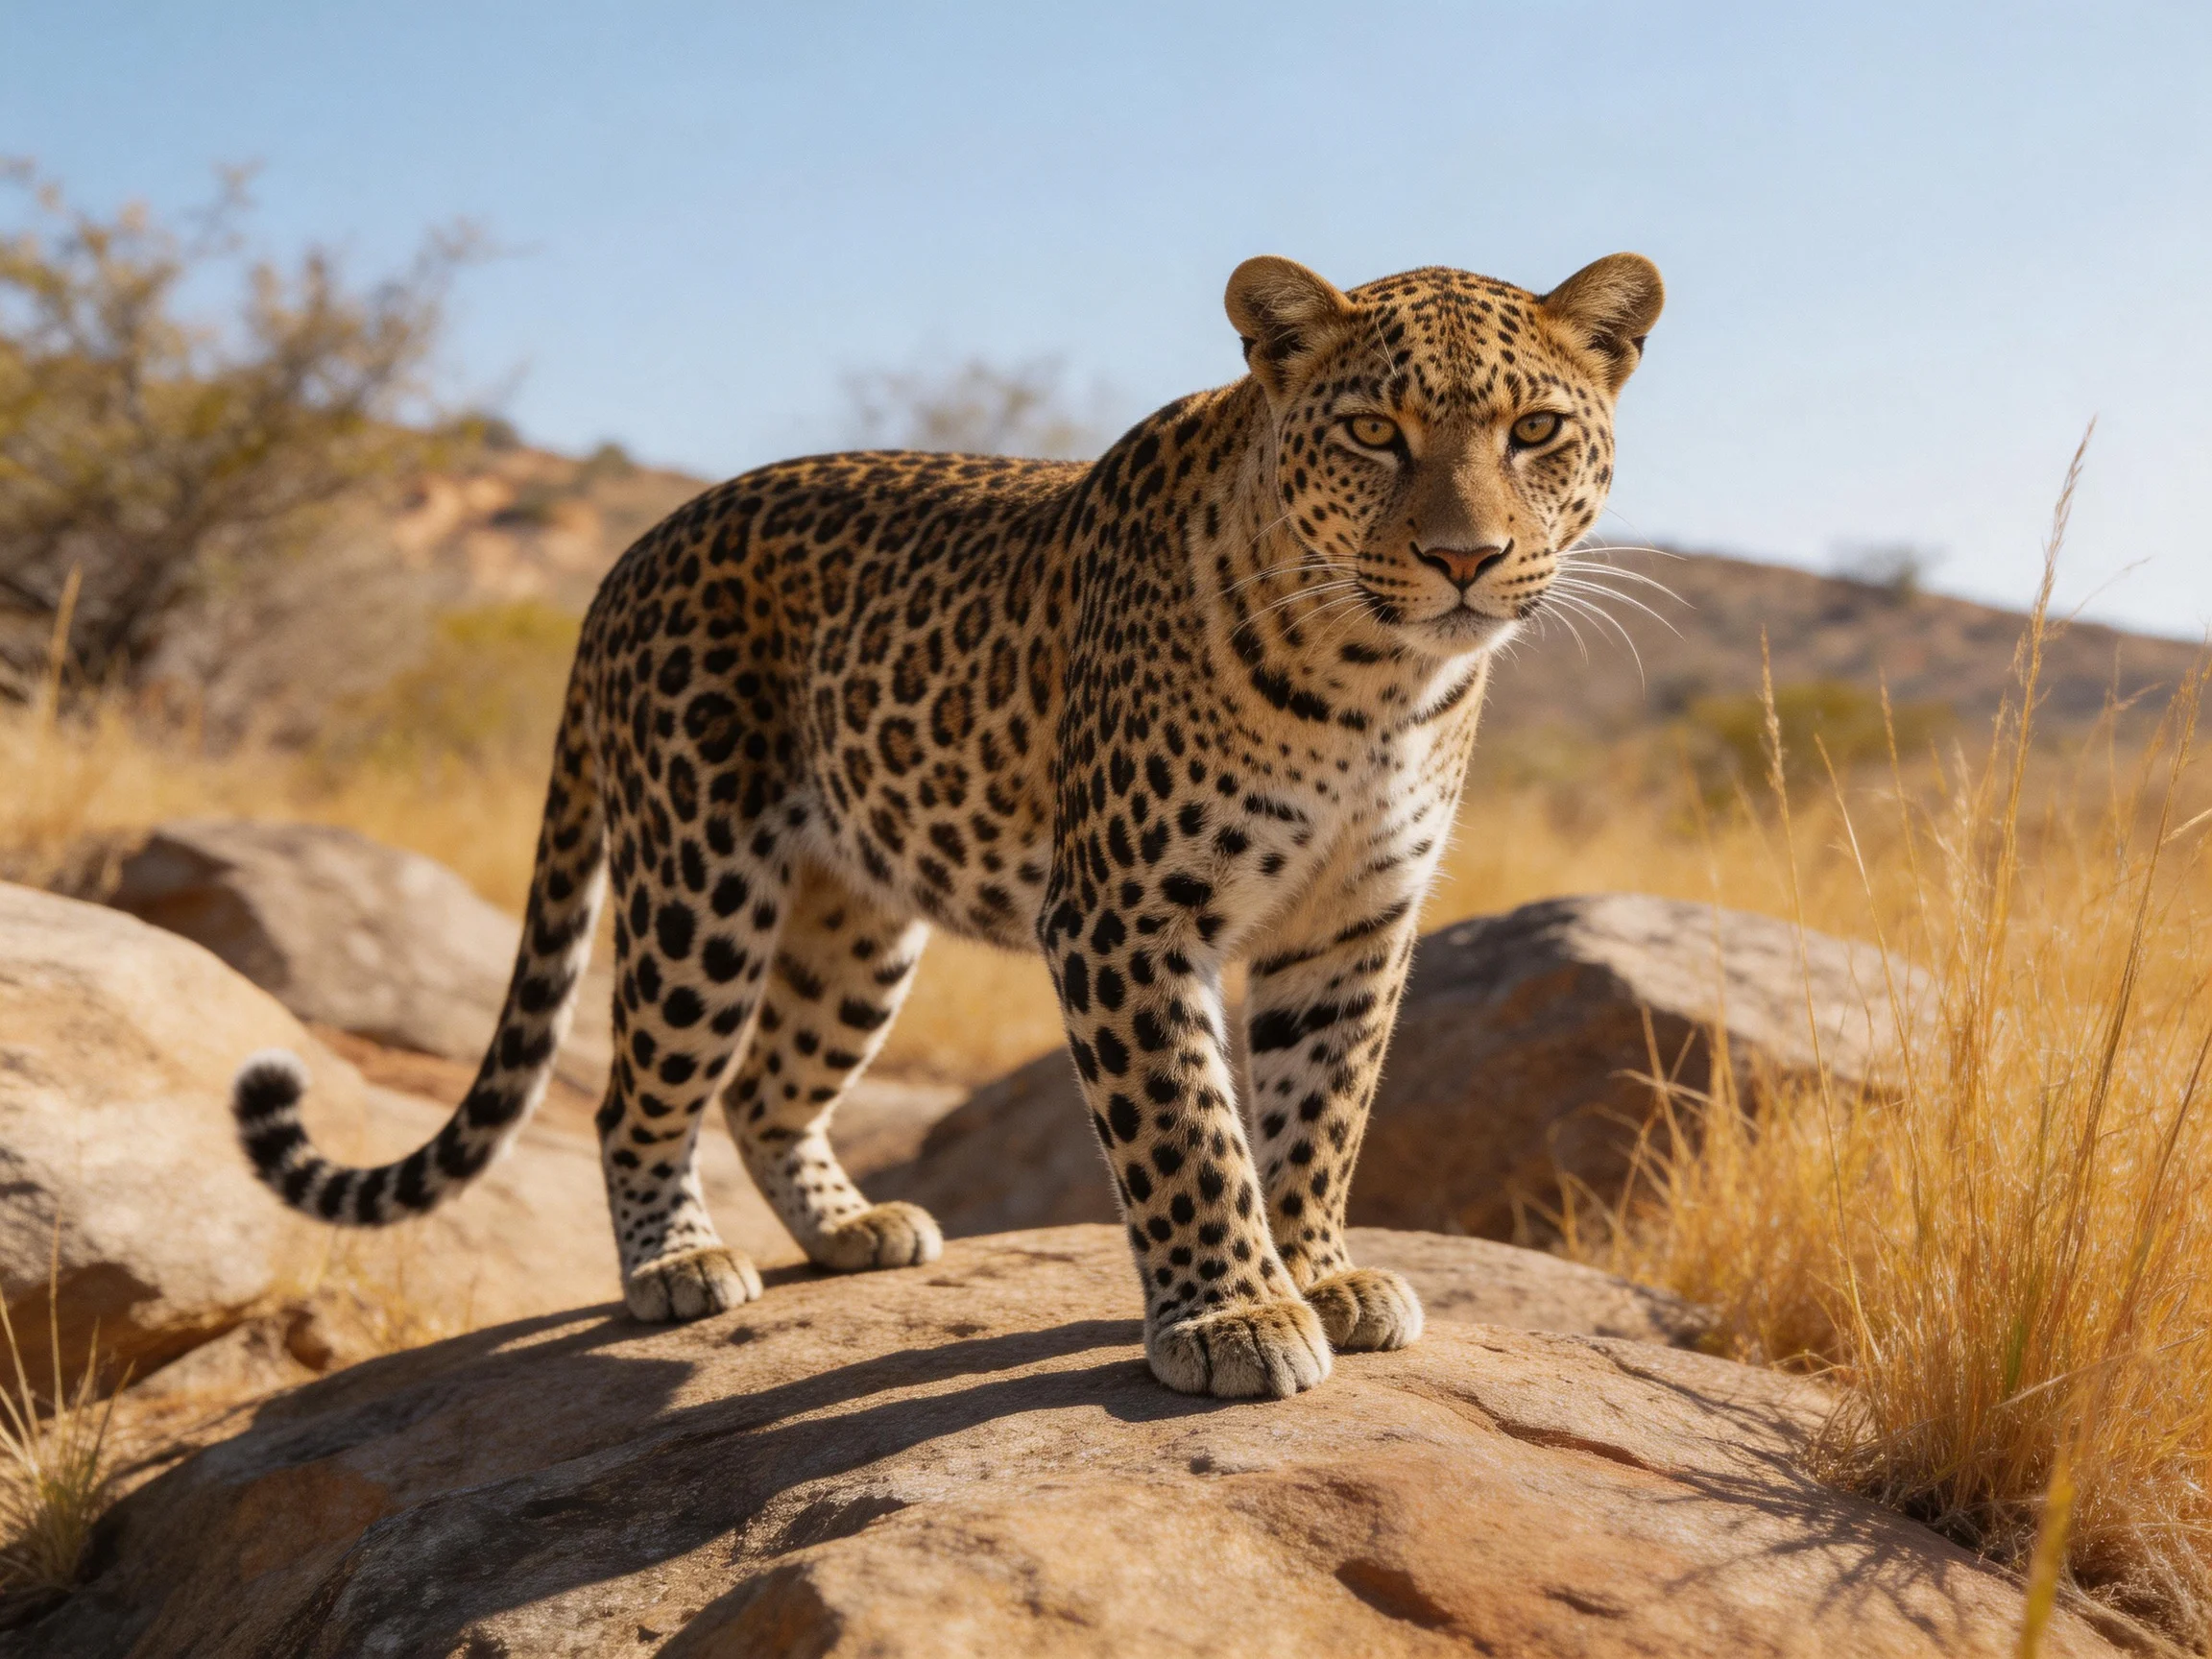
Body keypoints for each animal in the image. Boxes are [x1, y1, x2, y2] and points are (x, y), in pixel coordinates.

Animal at [231, 250, 1664, 1399]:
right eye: (1372, 430)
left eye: (1537, 428)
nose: (1464, 560)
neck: (1379, 687)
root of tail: (628, 561)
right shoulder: (1125, 915)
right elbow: (1187, 1129)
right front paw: (1235, 1316)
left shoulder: (1353, 923)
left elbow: (1324, 1114)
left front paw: (1320, 1272)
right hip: (700, 883)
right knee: (642, 1092)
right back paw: (677, 1265)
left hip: (854, 925)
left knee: (765, 1087)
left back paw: (849, 1234)